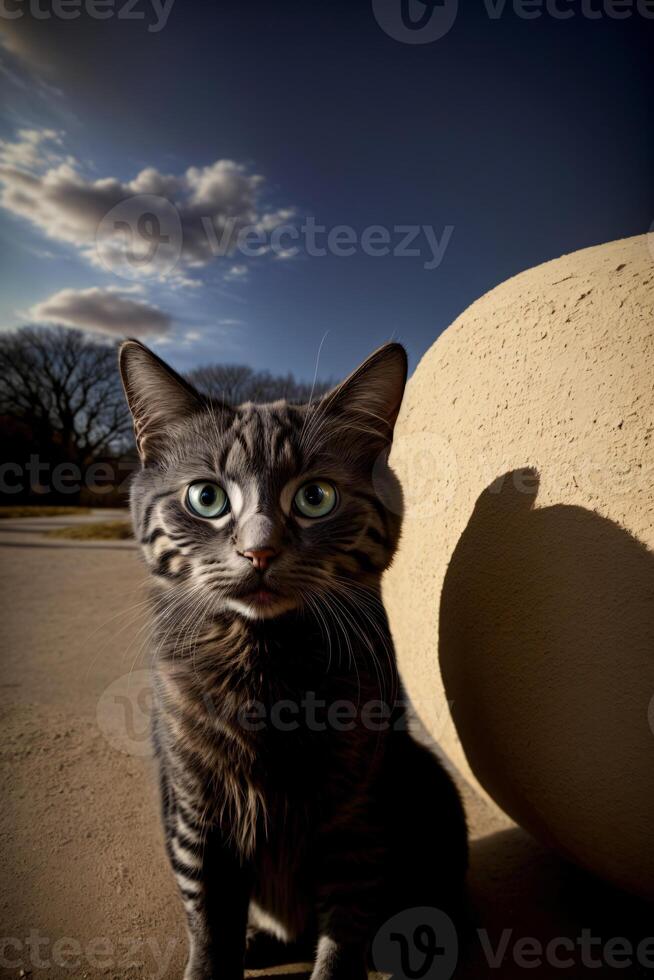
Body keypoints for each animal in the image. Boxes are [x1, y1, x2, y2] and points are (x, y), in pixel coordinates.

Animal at [120, 338, 468, 980]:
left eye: (315, 497)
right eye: (206, 497)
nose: (259, 551)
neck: (263, 661)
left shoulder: (357, 815)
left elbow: (343, 937)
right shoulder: (195, 814)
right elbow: (209, 926)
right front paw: (216, 958)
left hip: (429, 784)